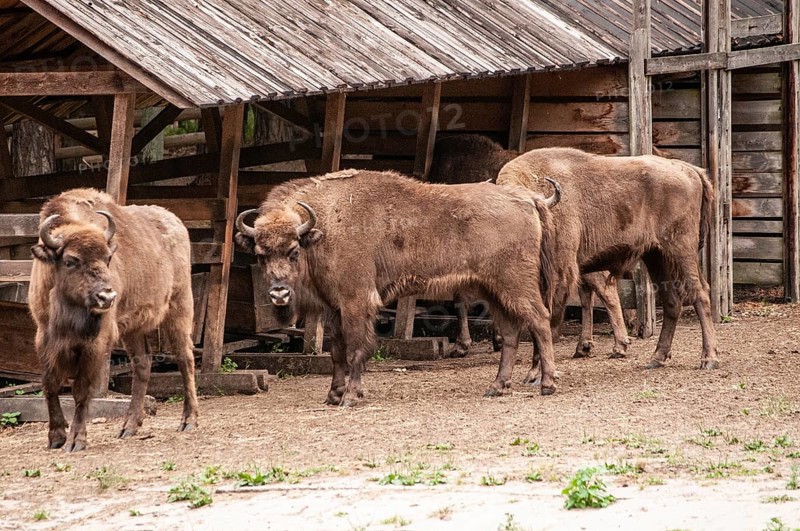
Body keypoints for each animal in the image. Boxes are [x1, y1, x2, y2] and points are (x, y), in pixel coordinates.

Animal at [29, 189, 199, 451]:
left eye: (108, 258)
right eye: (70, 261)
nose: (107, 296)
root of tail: (175, 221)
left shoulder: (95, 343)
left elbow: (81, 390)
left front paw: (75, 441)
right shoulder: (44, 337)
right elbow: (49, 384)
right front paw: (55, 437)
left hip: (179, 307)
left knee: (185, 359)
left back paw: (188, 421)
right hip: (134, 328)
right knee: (142, 365)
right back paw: (129, 426)